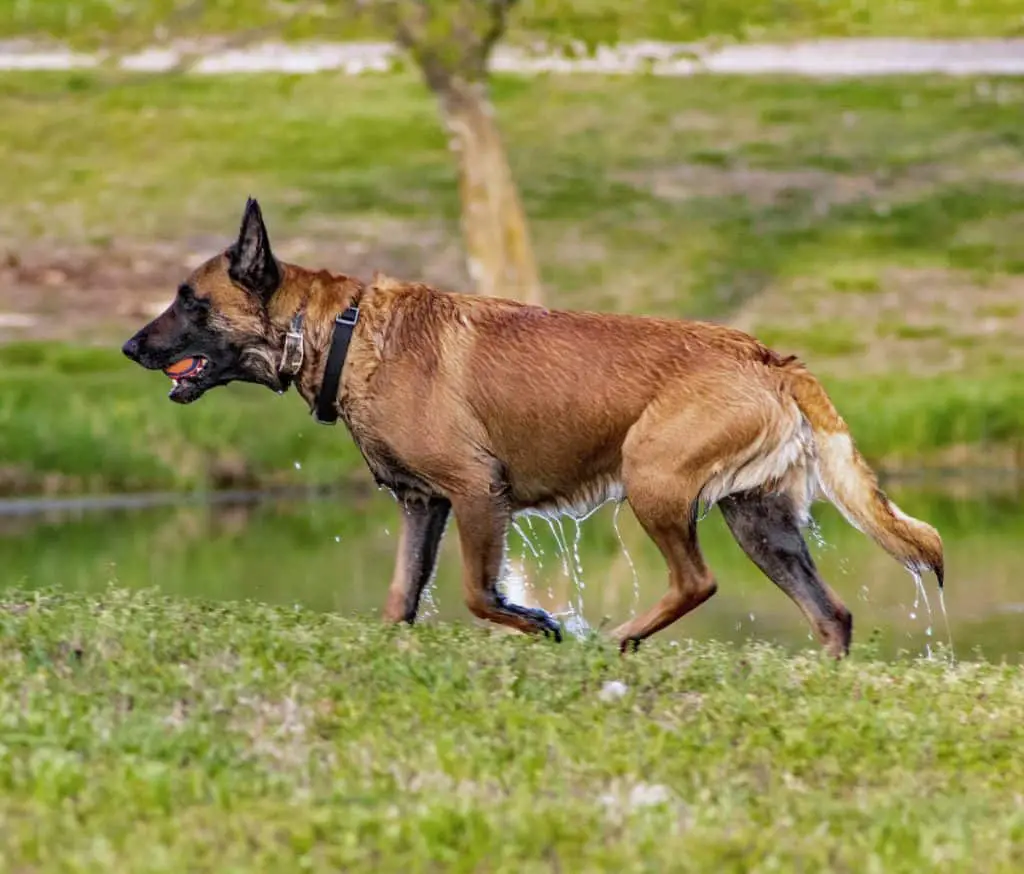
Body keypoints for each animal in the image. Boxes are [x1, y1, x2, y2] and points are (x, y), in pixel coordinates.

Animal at [121, 200, 942, 654]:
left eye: (189, 301)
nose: (129, 348)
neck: (341, 330)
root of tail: (769, 357)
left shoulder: (477, 494)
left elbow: (479, 594)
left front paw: (543, 623)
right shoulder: (425, 506)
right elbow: (399, 601)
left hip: (652, 479)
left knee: (697, 581)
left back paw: (617, 640)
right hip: (760, 521)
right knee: (831, 615)